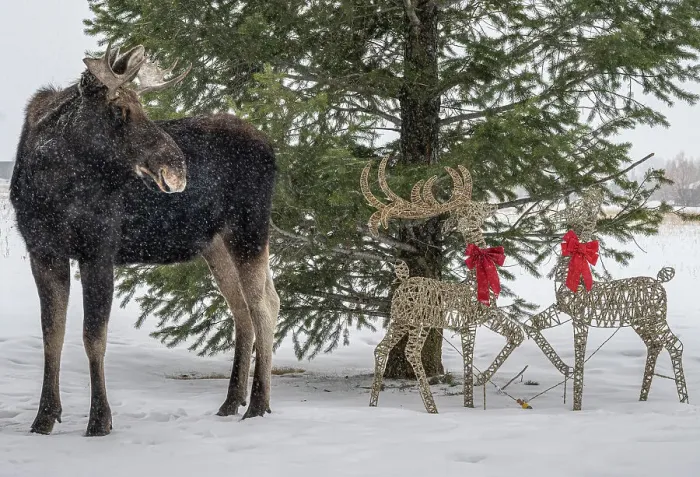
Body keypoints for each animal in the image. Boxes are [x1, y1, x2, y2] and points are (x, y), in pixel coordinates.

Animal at [10, 43, 279, 436]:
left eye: (144, 107)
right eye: (119, 109)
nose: (177, 166)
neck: (51, 185)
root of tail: (272, 149)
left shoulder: (99, 249)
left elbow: (93, 337)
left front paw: (99, 421)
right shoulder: (43, 251)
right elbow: (52, 335)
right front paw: (44, 418)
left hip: (250, 229)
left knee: (264, 307)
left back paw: (258, 404)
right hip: (216, 243)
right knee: (245, 309)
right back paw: (232, 402)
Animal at [361, 157, 524, 413]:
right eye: (475, 208)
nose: (493, 206)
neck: (475, 280)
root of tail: (404, 282)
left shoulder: (477, 319)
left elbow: (512, 336)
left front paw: (475, 392)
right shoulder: (477, 318)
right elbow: (483, 351)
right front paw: (474, 393)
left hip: (399, 319)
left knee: (381, 348)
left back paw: (373, 404)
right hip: (419, 321)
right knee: (411, 352)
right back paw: (432, 408)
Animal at [522, 188, 688, 410]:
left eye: (578, 207)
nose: (555, 216)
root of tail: (661, 282)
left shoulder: (579, 319)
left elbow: (580, 357)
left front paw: (576, 406)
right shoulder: (560, 309)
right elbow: (530, 324)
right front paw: (566, 369)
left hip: (657, 319)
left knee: (675, 345)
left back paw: (684, 400)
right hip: (642, 322)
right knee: (654, 344)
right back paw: (643, 398)